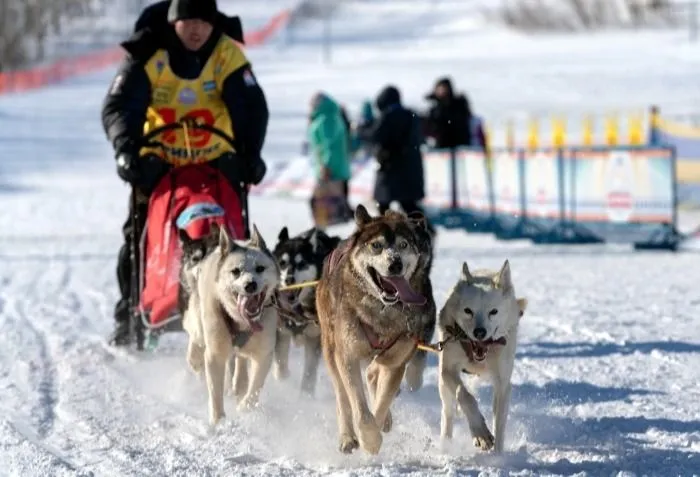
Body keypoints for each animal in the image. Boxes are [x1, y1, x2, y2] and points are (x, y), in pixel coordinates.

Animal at [318, 205, 438, 454]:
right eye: (376, 245)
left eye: (404, 245)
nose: (395, 264)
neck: (382, 312)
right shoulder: (348, 356)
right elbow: (359, 406)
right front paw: (368, 437)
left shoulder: (396, 361)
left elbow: (382, 401)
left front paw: (376, 432)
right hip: (331, 350)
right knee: (342, 397)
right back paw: (347, 436)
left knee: (374, 375)